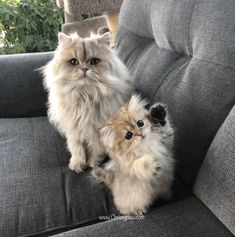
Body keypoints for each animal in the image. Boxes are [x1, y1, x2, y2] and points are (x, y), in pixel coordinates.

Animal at [43, 32, 132, 172]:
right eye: (74, 62)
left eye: (94, 61)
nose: (84, 69)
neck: (85, 95)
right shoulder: (73, 129)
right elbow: (76, 148)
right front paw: (77, 164)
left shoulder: (97, 131)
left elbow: (96, 149)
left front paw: (93, 162)